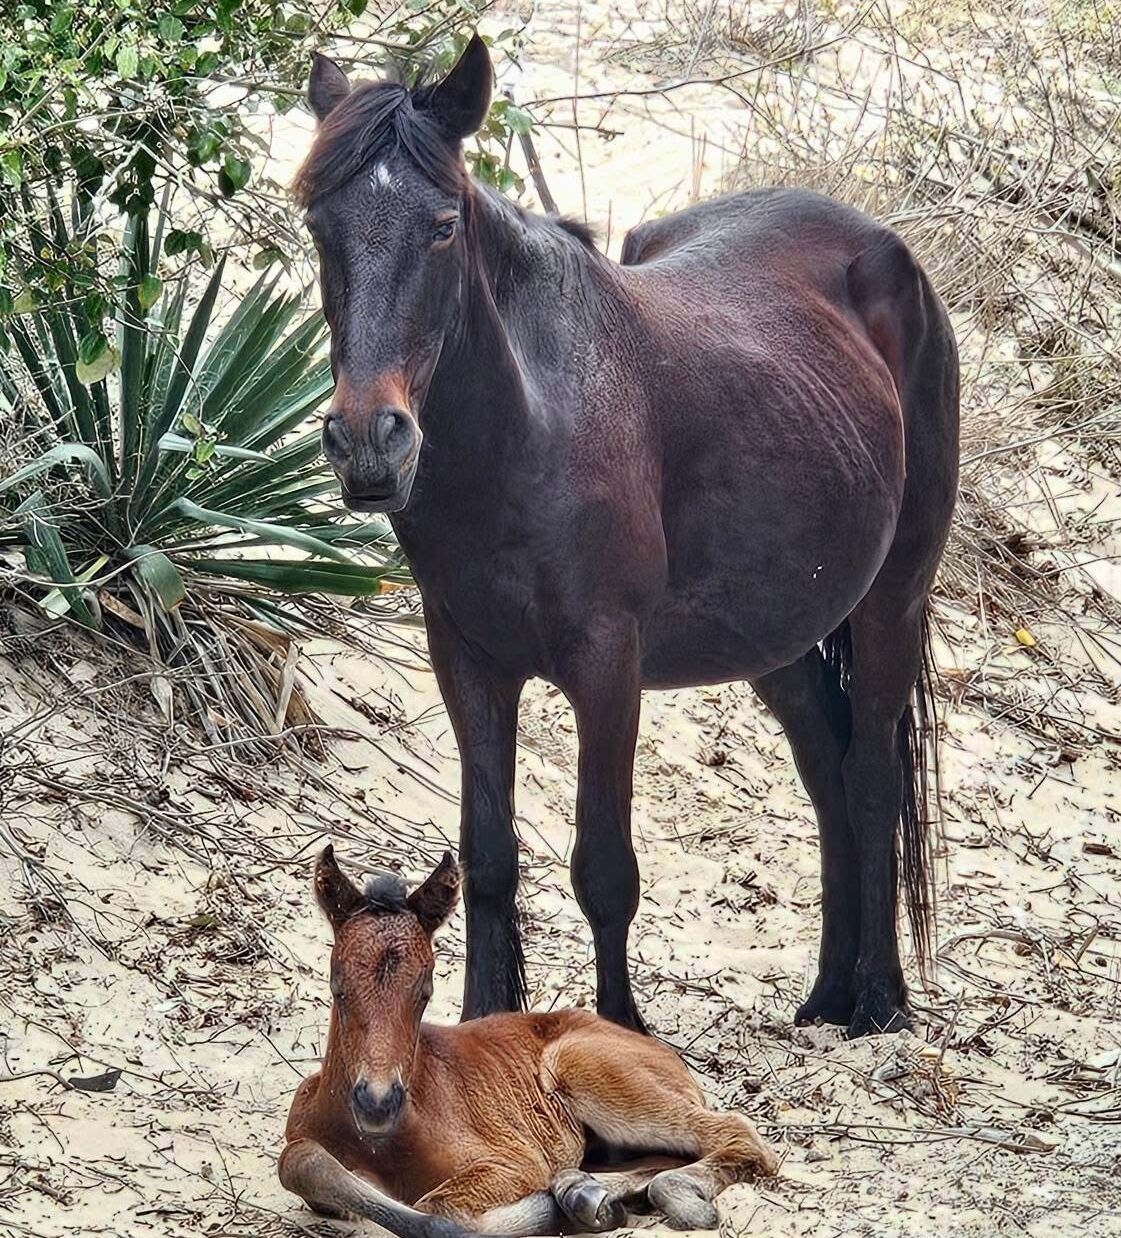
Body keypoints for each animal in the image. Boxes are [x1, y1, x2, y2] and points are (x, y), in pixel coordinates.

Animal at [280, 846, 778, 1235]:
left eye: (425, 992)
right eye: (338, 986)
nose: (377, 1103)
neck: (379, 1143)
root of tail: (668, 1056)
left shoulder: (514, 1161)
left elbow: (440, 1210)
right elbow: (302, 1162)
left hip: (590, 1070)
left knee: (734, 1132)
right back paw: (586, 1194)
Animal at [293, 35, 959, 1040]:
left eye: (443, 227)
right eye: (319, 227)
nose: (370, 440)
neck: (530, 432)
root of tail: (886, 255)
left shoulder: (607, 665)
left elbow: (603, 869)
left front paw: (619, 1034)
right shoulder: (467, 660)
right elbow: (487, 860)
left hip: (892, 598)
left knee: (871, 772)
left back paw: (877, 1000)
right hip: (776, 638)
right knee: (827, 772)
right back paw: (826, 993)